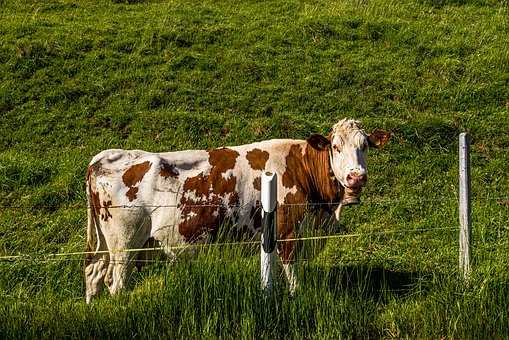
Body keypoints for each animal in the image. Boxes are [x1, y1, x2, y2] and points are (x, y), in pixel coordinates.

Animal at [85, 118, 390, 302]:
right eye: (336, 147)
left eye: (365, 145)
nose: (356, 177)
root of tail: (106, 155)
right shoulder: (288, 233)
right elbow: (293, 275)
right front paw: (296, 297)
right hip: (125, 244)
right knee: (116, 283)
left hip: (107, 245)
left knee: (93, 274)